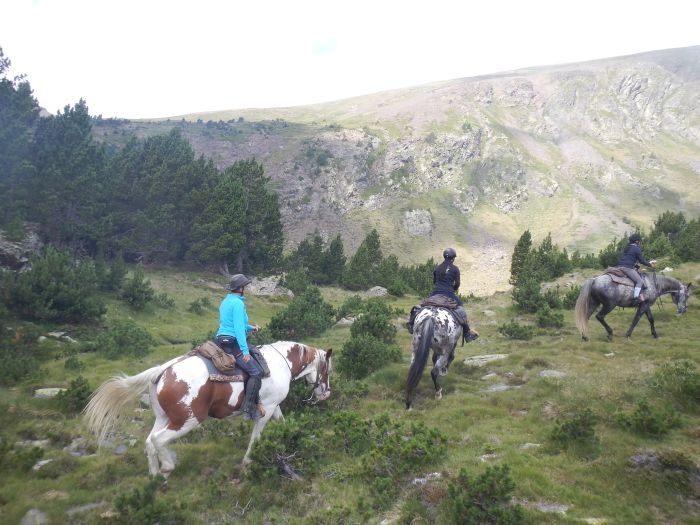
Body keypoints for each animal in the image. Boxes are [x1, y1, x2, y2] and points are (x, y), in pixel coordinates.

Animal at [84, 338, 330, 476]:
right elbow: (256, 437)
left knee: (149, 442)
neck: (281, 363)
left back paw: (155, 474)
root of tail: (163, 370)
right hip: (188, 420)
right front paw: (247, 462)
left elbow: (283, 422)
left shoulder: (274, 405)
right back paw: (167, 466)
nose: (326, 394)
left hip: (164, 418)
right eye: (327, 369)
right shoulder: (266, 409)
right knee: (158, 440)